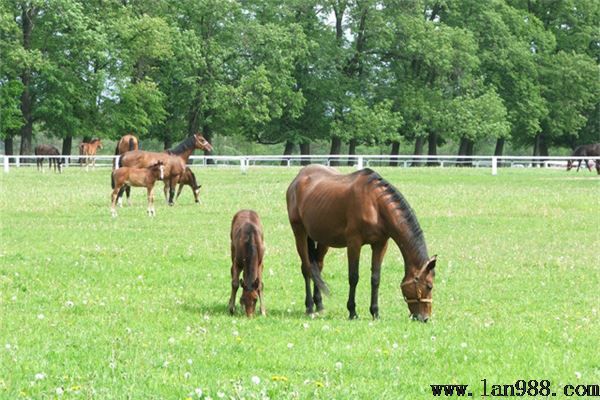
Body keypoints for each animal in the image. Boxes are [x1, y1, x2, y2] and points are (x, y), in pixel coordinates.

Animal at [286, 165, 436, 322]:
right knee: (307, 268)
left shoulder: (380, 244)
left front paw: (375, 312)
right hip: (300, 233)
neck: (375, 204)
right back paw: (309, 306)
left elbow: (375, 278)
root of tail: (298, 178)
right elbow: (354, 277)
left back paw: (319, 304)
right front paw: (352, 311)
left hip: (322, 239)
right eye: (429, 286)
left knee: (318, 267)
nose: (425, 318)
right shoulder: (354, 243)